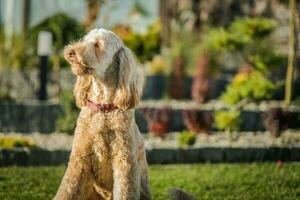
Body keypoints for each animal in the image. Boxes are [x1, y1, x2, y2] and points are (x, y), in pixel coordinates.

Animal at [53, 28, 150, 200]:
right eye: (85, 40)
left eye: (97, 45)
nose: (70, 52)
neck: (103, 108)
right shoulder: (79, 159)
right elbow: (66, 190)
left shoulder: (125, 163)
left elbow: (124, 191)